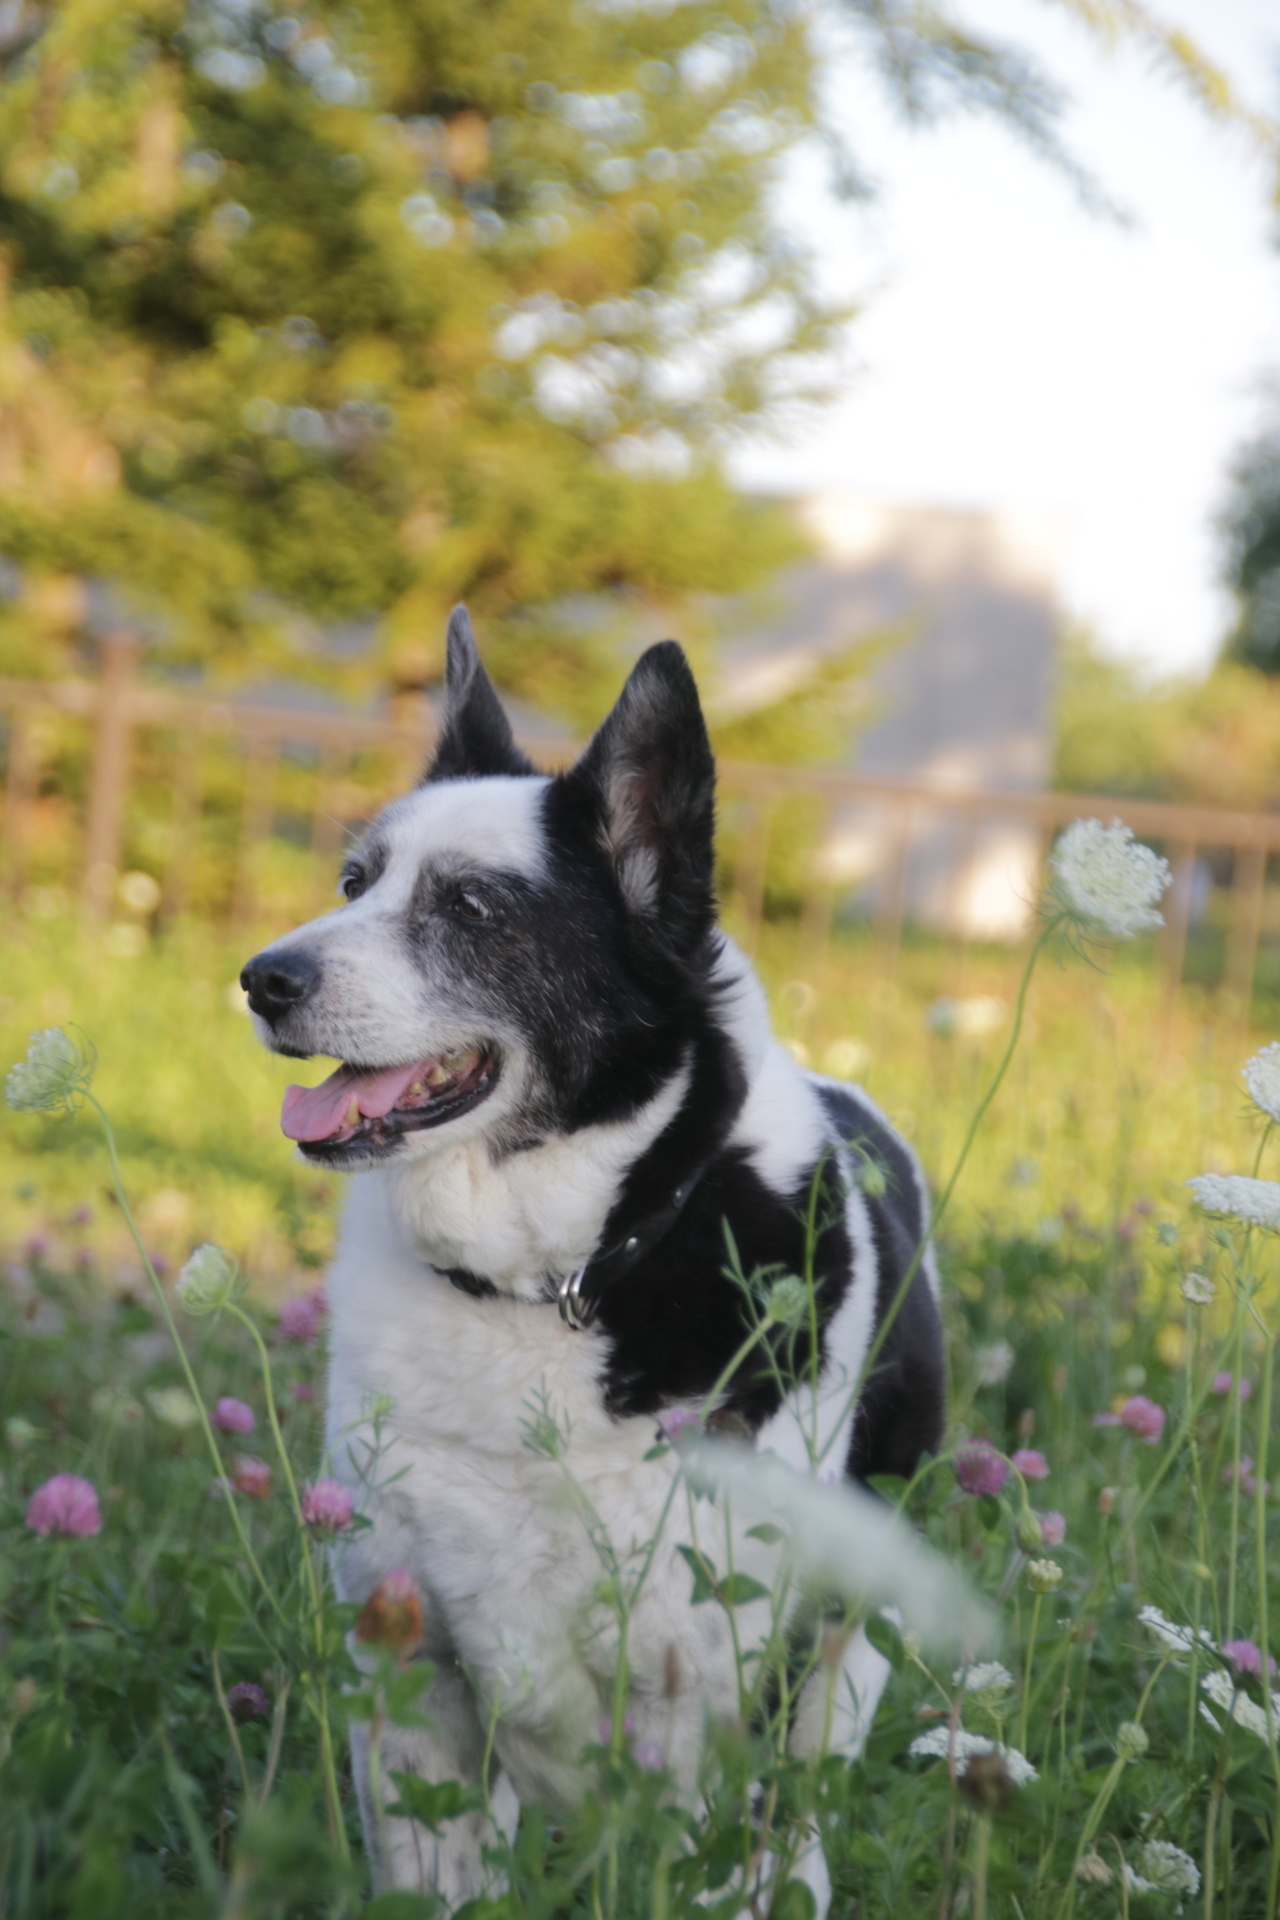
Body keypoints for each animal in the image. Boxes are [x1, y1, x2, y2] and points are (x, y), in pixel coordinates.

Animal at [242, 610, 940, 1904]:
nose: (262, 979)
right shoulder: (412, 1681)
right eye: (354, 883)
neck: (551, 1281)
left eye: (472, 907)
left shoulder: (710, 1703)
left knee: (807, 1800)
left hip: (849, 1632)